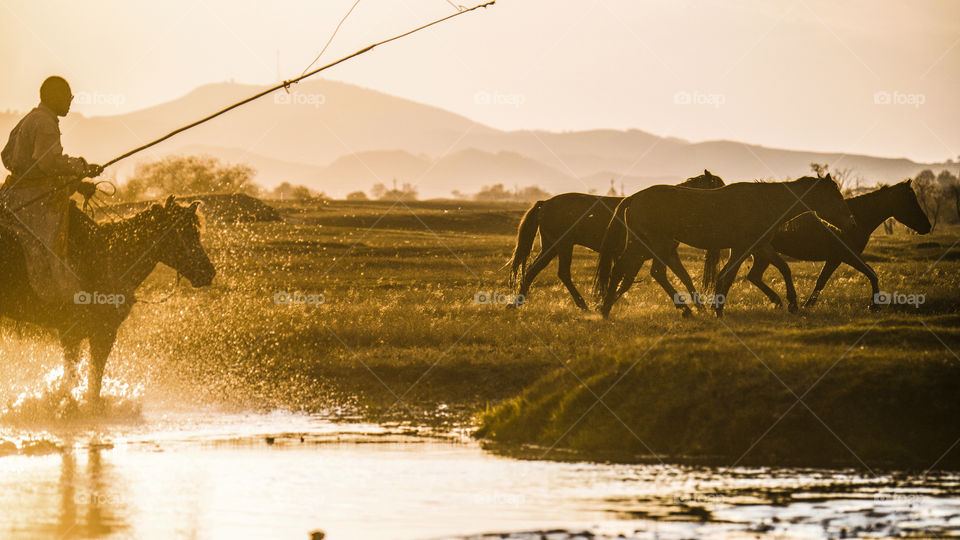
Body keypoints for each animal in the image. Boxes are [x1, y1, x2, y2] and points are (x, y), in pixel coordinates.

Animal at [0, 196, 214, 402]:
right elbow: (90, 385)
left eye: (196, 232)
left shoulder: (76, 335)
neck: (108, 259)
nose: (208, 271)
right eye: (183, 232)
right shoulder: (98, 333)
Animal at [506, 171, 724, 310]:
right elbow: (629, 280)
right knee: (562, 274)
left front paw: (700, 306)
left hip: (551, 247)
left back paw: (515, 303)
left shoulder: (666, 253)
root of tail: (545, 203)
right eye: (717, 187)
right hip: (563, 246)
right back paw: (583, 305)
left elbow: (684, 276)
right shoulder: (646, 254)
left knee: (532, 271)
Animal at [596, 174, 852, 316]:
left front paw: (790, 303)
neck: (766, 202)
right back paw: (686, 310)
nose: (851, 221)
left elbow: (783, 268)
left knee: (620, 271)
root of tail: (632, 198)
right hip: (657, 245)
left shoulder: (759, 247)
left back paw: (606, 309)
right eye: (835, 196)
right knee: (656, 272)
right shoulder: (743, 248)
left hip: (641, 245)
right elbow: (728, 275)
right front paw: (717, 308)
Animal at [748, 179, 928, 310]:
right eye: (910, 200)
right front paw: (874, 305)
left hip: (762, 255)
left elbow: (825, 280)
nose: (927, 225)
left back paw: (777, 301)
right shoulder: (844, 256)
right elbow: (868, 274)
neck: (856, 220)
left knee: (753, 276)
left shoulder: (838, 258)